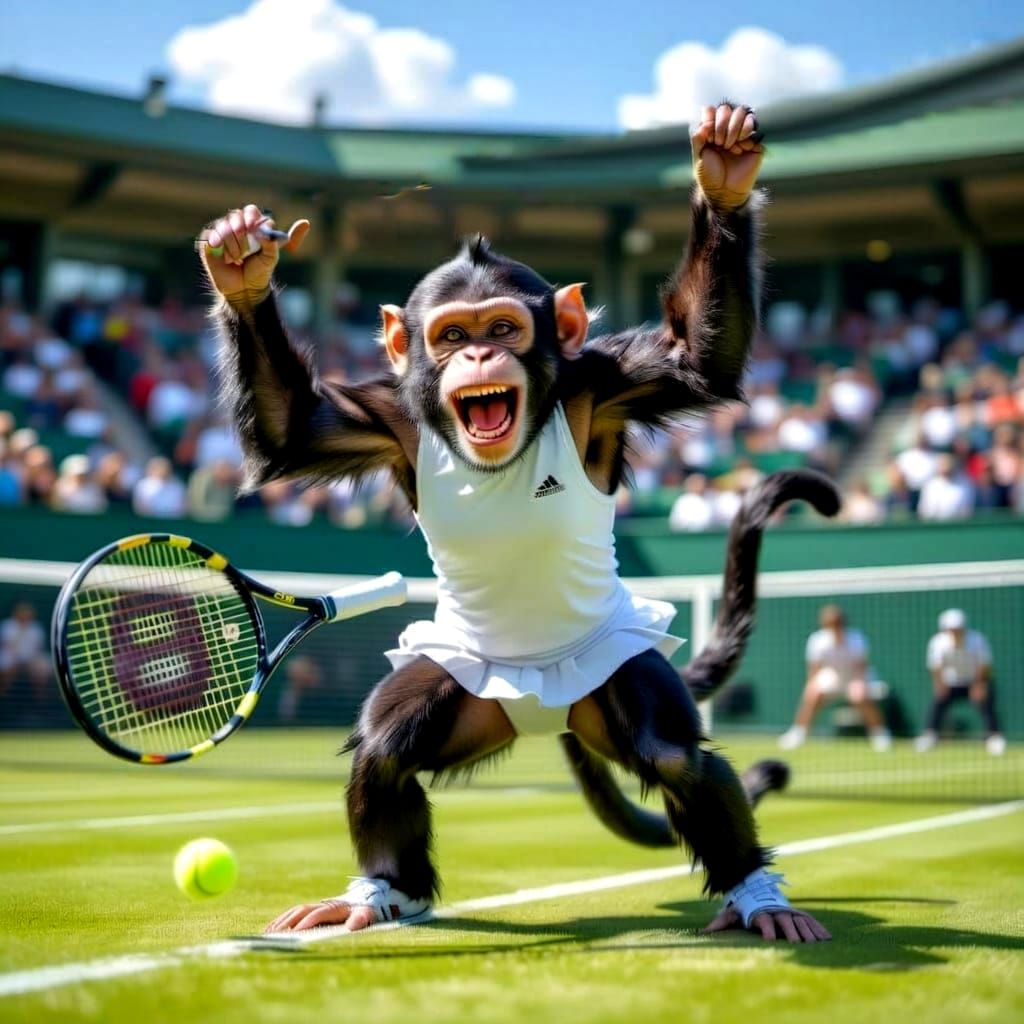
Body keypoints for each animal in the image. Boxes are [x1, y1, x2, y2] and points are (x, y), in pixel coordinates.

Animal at [202, 102, 834, 944]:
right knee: (386, 748)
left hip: (610, 676)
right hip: (469, 683)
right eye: (450, 334)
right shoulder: (387, 418)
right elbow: (291, 430)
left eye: (501, 328)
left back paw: (757, 897)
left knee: (673, 754)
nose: (475, 356)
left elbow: (695, 359)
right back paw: (379, 893)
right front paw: (241, 267)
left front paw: (724, 180)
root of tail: (547, 712)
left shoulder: (603, 385)